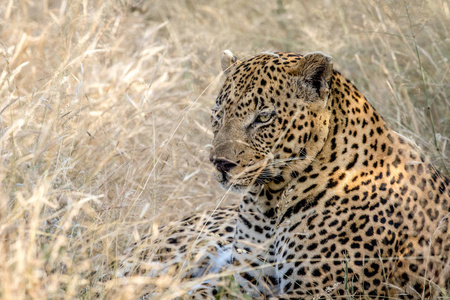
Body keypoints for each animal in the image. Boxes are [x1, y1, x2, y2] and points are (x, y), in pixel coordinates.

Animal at [120, 50, 450, 298]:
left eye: (263, 118)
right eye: (218, 114)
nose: (220, 163)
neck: (271, 199)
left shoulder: (319, 291)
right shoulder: (245, 278)